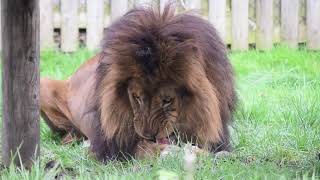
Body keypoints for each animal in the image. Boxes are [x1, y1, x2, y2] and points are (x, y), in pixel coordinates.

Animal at [40, 4, 236, 161]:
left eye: (167, 100)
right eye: (136, 97)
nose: (149, 135)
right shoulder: (113, 144)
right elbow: (145, 148)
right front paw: (170, 152)